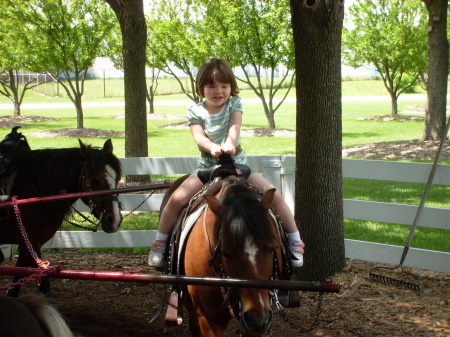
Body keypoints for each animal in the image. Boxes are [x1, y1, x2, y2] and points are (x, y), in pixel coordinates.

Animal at [0, 138, 123, 296]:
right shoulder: (30, 242)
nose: (114, 220)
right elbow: (43, 285)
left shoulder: (29, 244)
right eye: (95, 180)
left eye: (117, 178)